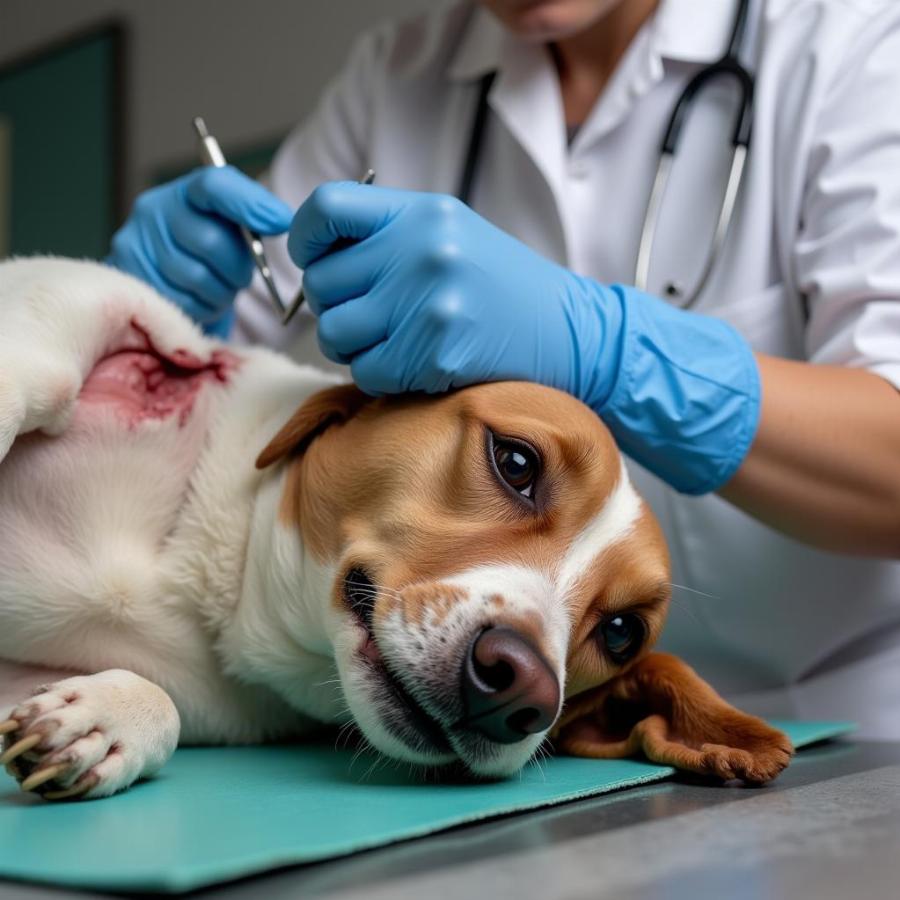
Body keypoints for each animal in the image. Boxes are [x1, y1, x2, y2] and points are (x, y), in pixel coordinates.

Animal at [0, 256, 788, 800]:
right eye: (516, 461)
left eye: (622, 633)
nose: (521, 692)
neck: (212, 584)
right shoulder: (89, 305)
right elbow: (38, 367)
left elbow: (150, 703)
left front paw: (103, 722)